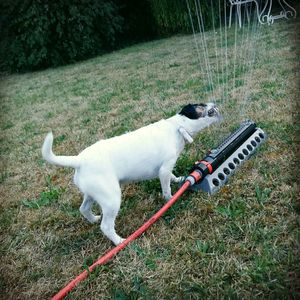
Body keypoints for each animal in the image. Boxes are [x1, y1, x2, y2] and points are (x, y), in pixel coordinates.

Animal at [42, 102, 220, 244]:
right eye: (201, 107)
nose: (214, 103)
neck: (175, 126)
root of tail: (79, 160)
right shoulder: (164, 169)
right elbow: (167, 189)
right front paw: (170, 200)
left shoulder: (165, 169)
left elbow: (172, 177)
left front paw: (178, 180)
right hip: (111, 199)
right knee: (106, 226)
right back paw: (119, 242)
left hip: (93, 194)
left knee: (84, 209)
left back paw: (93, 219)